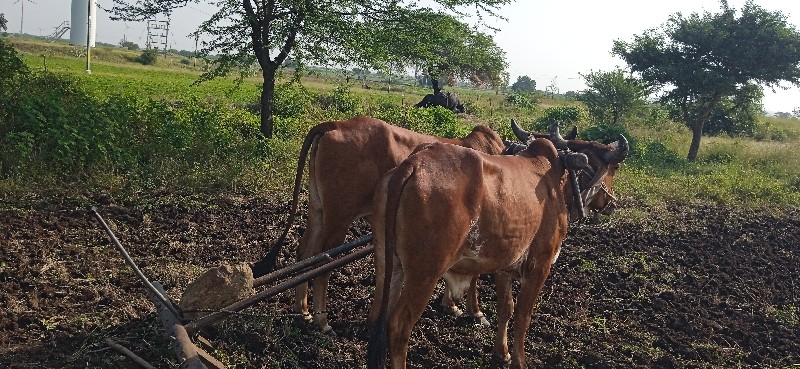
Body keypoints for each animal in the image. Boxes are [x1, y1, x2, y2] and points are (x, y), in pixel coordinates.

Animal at [366, 123, 628, 368]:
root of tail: (412, 165)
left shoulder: (505, 266)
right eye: (614, 169)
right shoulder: (540, 265)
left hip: (388, 263)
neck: (558, 179)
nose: (613, 204)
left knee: (377, 315)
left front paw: (501, 353)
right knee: (398, 327)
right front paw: (520, 361)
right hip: (424, 274)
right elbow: (523, 316)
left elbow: (506, 308)